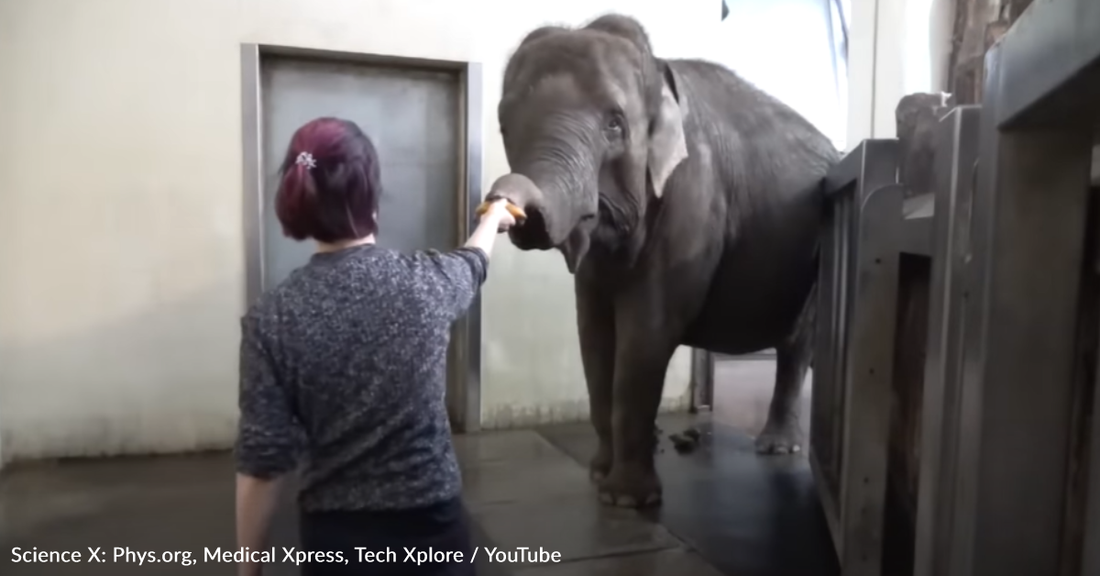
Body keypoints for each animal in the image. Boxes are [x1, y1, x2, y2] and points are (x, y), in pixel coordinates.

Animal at [486, 14, 836, 507]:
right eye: (503, 126)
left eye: (615, 125)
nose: (509, 206)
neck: (657, 71)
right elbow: (593, 332)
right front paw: (599, 478)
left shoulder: (693, 196)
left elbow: (647, 331)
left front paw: (627, 500)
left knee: (797, 343)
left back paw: (776, 448)